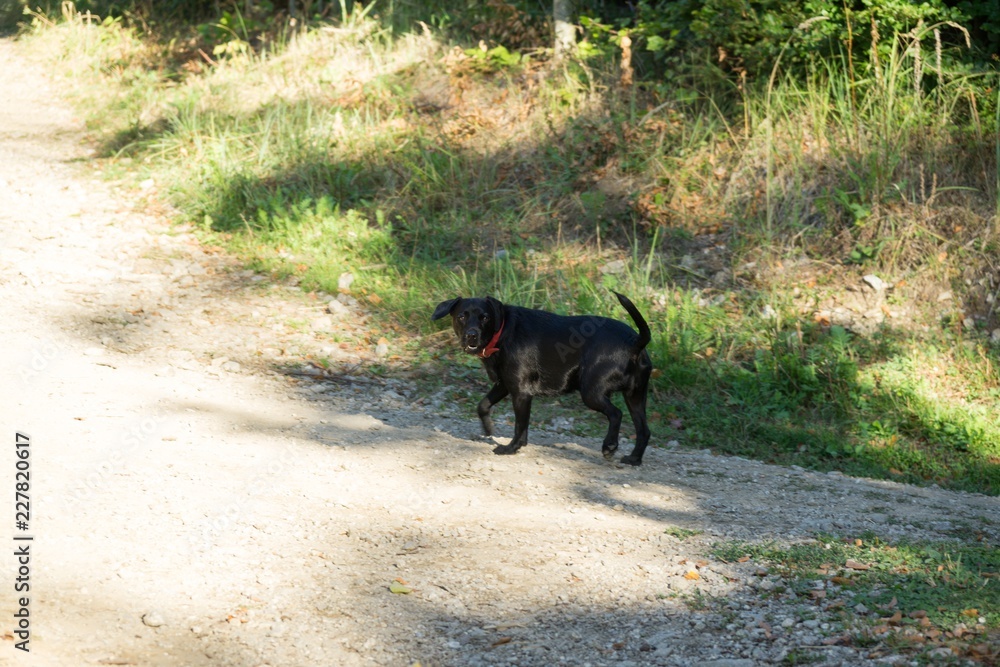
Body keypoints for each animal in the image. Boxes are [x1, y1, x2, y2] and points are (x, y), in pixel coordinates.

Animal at [432, 290, 656, 468]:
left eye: (485, 317)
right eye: (462, 316)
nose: (471, 335)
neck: (502, 333)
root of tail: (635, 341)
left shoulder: (521, 393)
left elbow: (520, 426)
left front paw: (511, 448)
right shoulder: (504, 385)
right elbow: (483, 405)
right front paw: (488, 428)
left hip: (592, 392)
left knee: (616, 414)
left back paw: (609, 446)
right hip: (635, 396)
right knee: (644, 430)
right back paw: (634, 459)